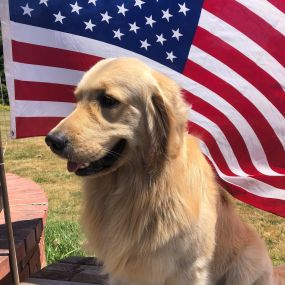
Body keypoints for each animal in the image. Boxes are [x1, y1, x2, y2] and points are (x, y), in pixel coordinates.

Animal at [45, 57, 282, 284]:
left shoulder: (189, 268)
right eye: (77, 99)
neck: (139, 187)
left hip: (246, 263)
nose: (52, 140)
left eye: (108, 100)